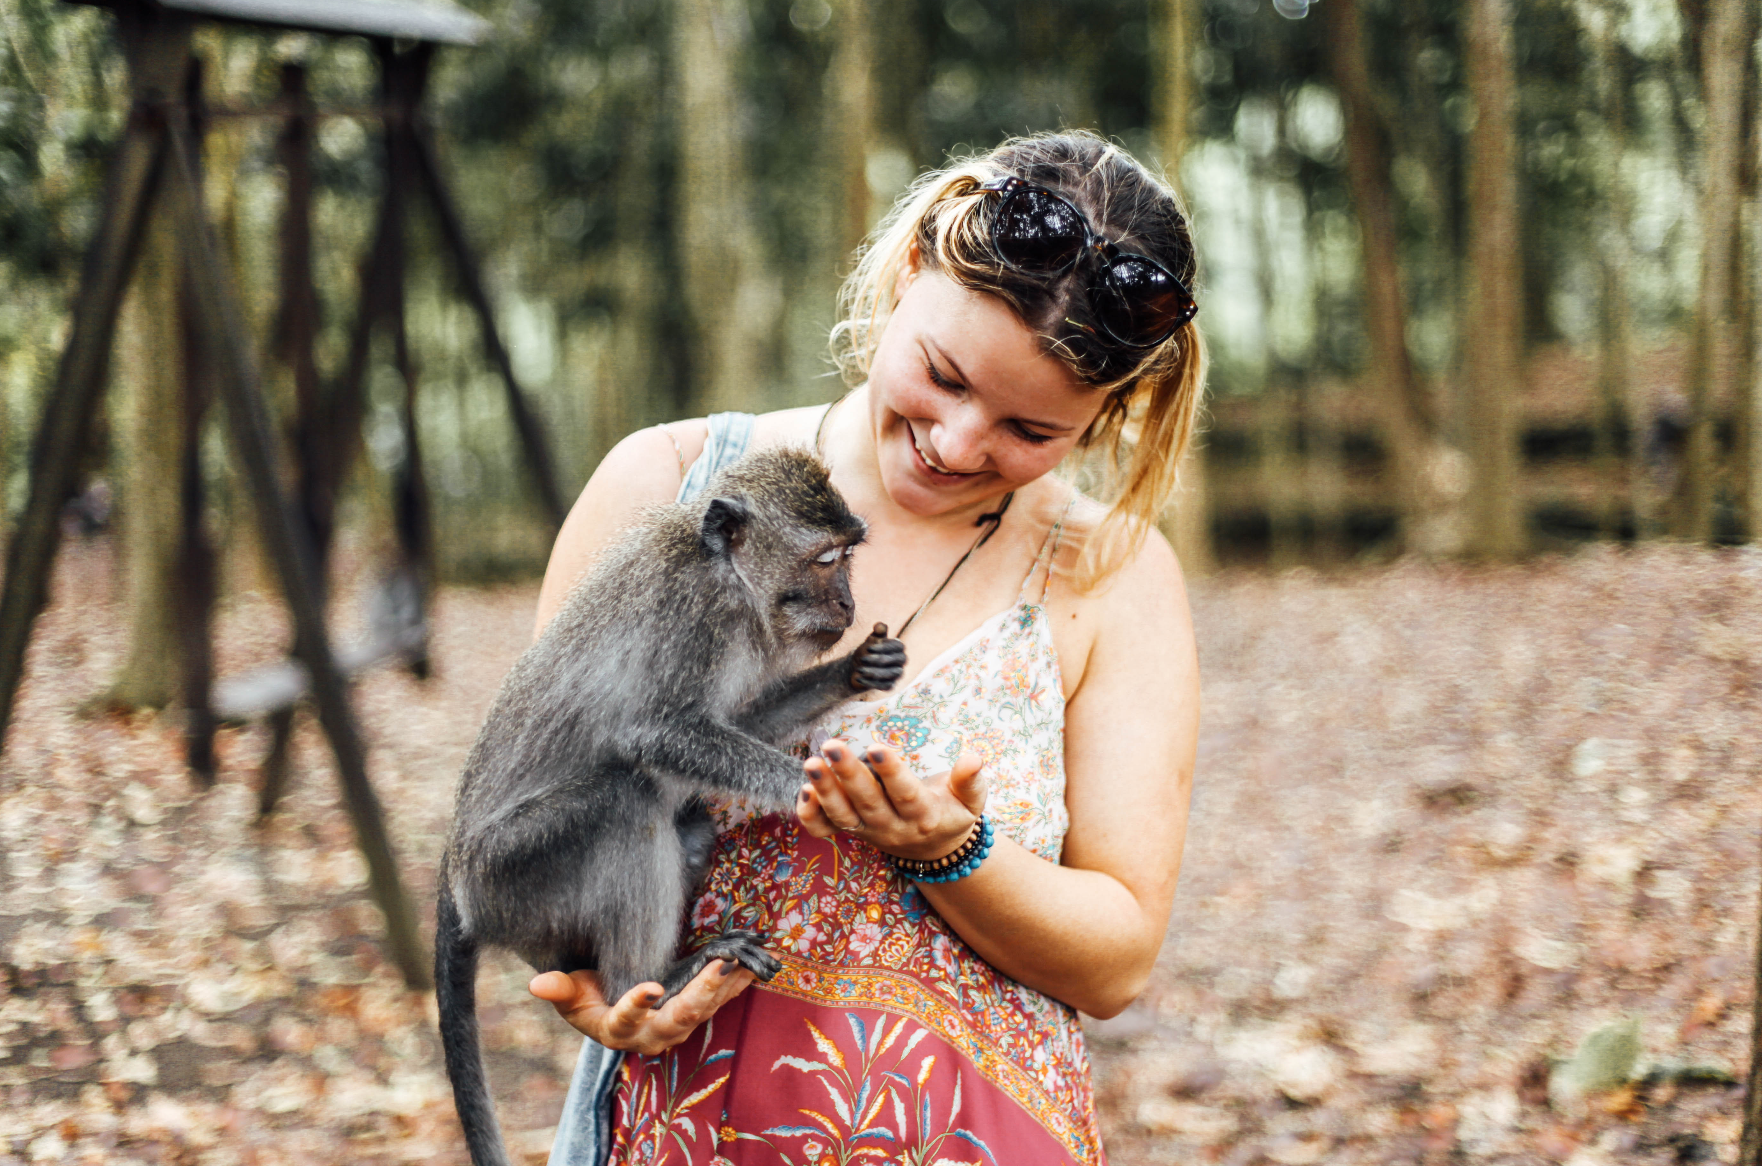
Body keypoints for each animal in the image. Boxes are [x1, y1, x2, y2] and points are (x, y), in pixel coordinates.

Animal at [431, 445, 902, 1166]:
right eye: (826, 559)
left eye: (849, 553)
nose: (849, 601)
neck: (729, 578)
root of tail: (457, 878)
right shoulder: (697, 618)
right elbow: (653, 734)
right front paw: (817, 786)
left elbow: (735, 721)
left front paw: (851, 670)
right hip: (512, 875)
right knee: (627, 798)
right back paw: (652, 981)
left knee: (687, 823)